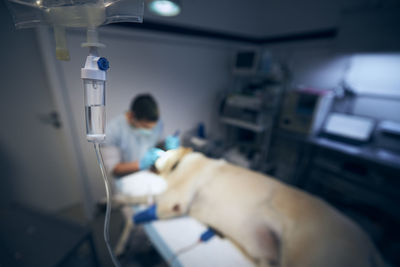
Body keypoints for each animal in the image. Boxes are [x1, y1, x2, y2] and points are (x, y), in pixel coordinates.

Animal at [118, 149, 382, 267]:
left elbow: (135, 212)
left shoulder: (172, 201)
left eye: (162, 152)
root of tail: (369, 245)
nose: (151, 157)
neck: (181, 162)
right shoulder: (165, 201)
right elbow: (134, 205)